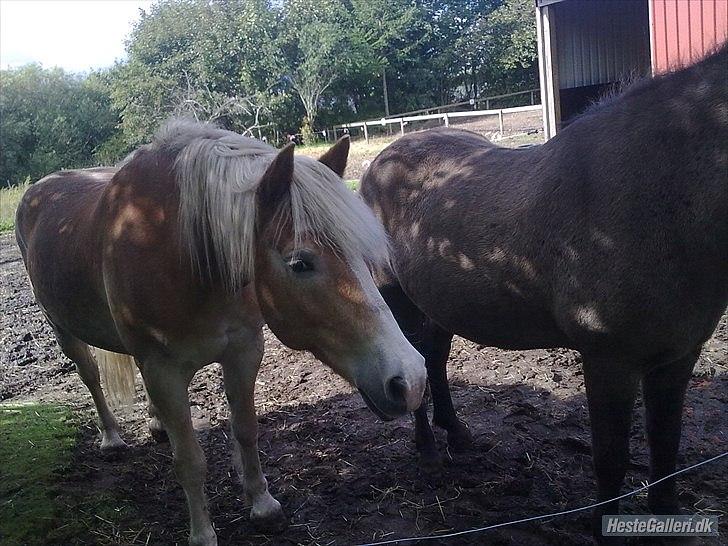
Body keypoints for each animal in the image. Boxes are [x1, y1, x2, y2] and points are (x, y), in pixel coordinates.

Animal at [15, 120, 426, 544]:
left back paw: (155, 424)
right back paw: (111, 437)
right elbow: (189, 459)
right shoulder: (162, 370)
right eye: (299, 263)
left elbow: (245, 430)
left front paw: (262, 505)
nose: (411, 380)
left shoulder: (243, 350)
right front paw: (202, 533)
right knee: (91, 377)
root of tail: (38, 189)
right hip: (62, 329)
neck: (179, 250)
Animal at [360, 45, 728, 536]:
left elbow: (666, 448)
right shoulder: (609, 360)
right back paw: (429, 451)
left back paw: (456, 433)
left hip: (438, 305)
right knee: (413, 367)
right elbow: (611, 458)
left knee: (433, 360)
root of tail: (381, 161)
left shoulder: (678, 356)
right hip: (398, 299)